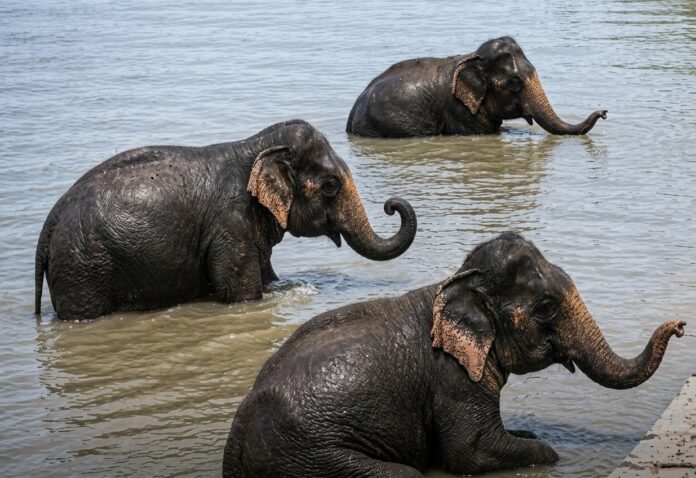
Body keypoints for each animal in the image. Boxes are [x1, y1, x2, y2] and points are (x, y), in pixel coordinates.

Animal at [34, 120, 417, 321]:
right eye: (331, 185)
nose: (391, 204)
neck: (254, 147)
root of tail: (50, 223)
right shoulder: (231, 224)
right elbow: (242, 295)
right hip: (84, 267)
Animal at [223, 232, 685, 477]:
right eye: (546, 308)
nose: (680, 325)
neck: (456, 282)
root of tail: (234, 446)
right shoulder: (454, 379)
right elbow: (471, 451)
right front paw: (548, 452)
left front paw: (527, 432)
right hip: (310, 458)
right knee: (403, 476)